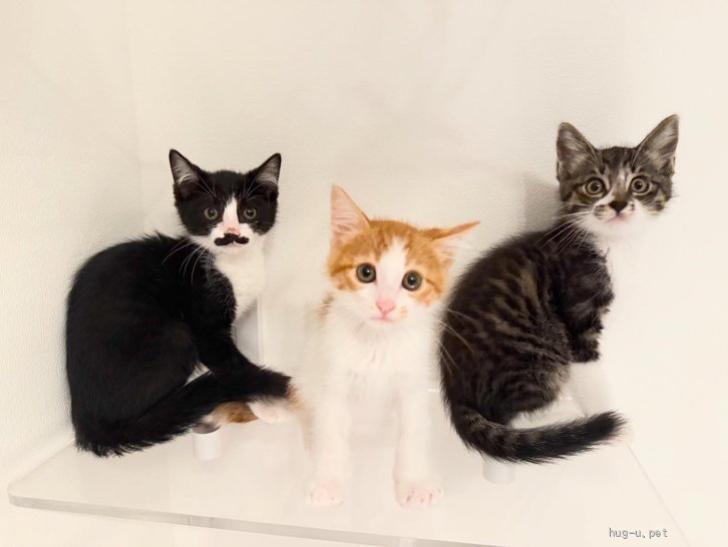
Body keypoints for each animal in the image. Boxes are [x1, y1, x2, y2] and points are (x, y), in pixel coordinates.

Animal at [65, 150, 290, 456]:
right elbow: (236, 369)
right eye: (211, 213)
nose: (231, 234)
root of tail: (84, 417)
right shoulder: (206, 326)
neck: (233, 267)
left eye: (249, 213)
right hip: (175, 335)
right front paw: (270, 405)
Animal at [295, 185, 477, 508]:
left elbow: (413, 433)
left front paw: (415, 483)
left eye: (412, 280)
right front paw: (328, 481)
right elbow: (330, 432)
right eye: (366, 272)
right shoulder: (332, 381)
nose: (385, 304)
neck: (377, 345)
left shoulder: (413, 383)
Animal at [440, 115, 678, 465]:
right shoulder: (579, 313)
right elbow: (590, 371)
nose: (619, 204)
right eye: (595, 186)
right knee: (509, 413)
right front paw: (612, 421)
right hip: (537, 358)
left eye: (639, 184)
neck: (607, 244)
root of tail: (456, 394)